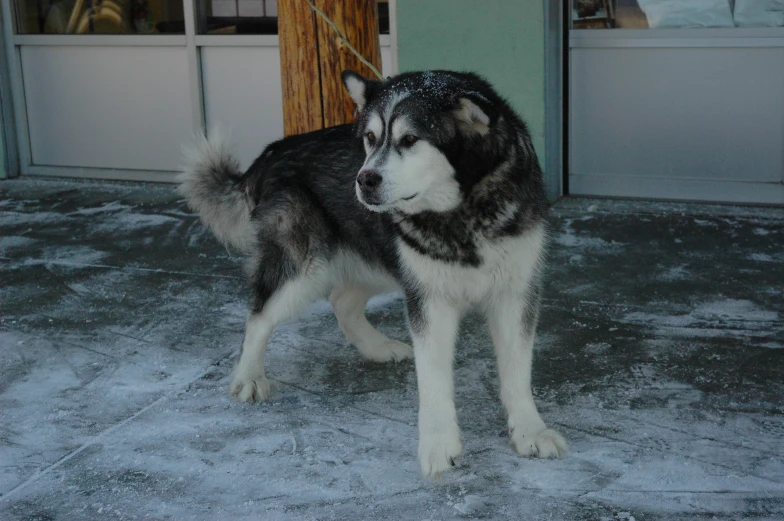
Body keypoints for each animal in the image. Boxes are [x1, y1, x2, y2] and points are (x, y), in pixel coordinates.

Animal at [179, 70, 564, 480]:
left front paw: (529, 431)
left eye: (409, 139)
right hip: (307, 268)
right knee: (259, 315)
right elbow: (434, 379)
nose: (364, 179)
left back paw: (377, 347)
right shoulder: (429, 300)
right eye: (370, 137)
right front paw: (439, 445)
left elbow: (517, 373)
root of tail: (272, 151)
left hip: (380, 257)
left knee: (341, 301)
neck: (461, 213)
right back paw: (249, 376)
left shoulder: (515, 293)